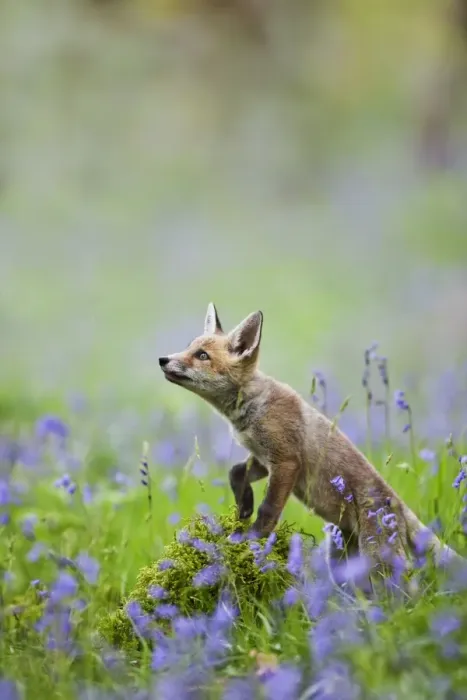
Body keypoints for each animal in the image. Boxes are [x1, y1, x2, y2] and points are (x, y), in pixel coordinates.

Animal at [159, 303, 464, 587]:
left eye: (202, 356)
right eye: (189, 348)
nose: (163, 359)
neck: (250, 407)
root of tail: (397, 502)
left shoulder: (286, 462)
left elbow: (268, 509)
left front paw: (252, 538)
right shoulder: (263, 458)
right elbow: (235, 472)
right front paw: (244, 505)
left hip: (378, 559)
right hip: (342, 562)